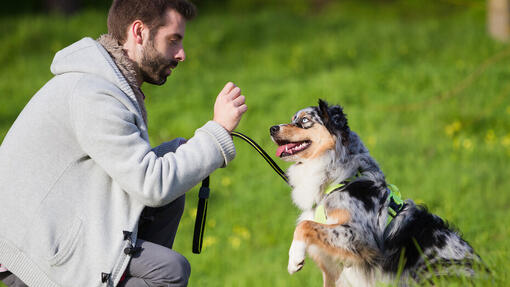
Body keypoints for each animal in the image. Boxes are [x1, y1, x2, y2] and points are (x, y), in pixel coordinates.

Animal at [270, 100, 482, 286]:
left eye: (305, 120)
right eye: (293, 118)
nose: (272, 128)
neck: (337, 179)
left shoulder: (361, 236)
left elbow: (305, 225)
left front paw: (294, 259)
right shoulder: (332, 267)